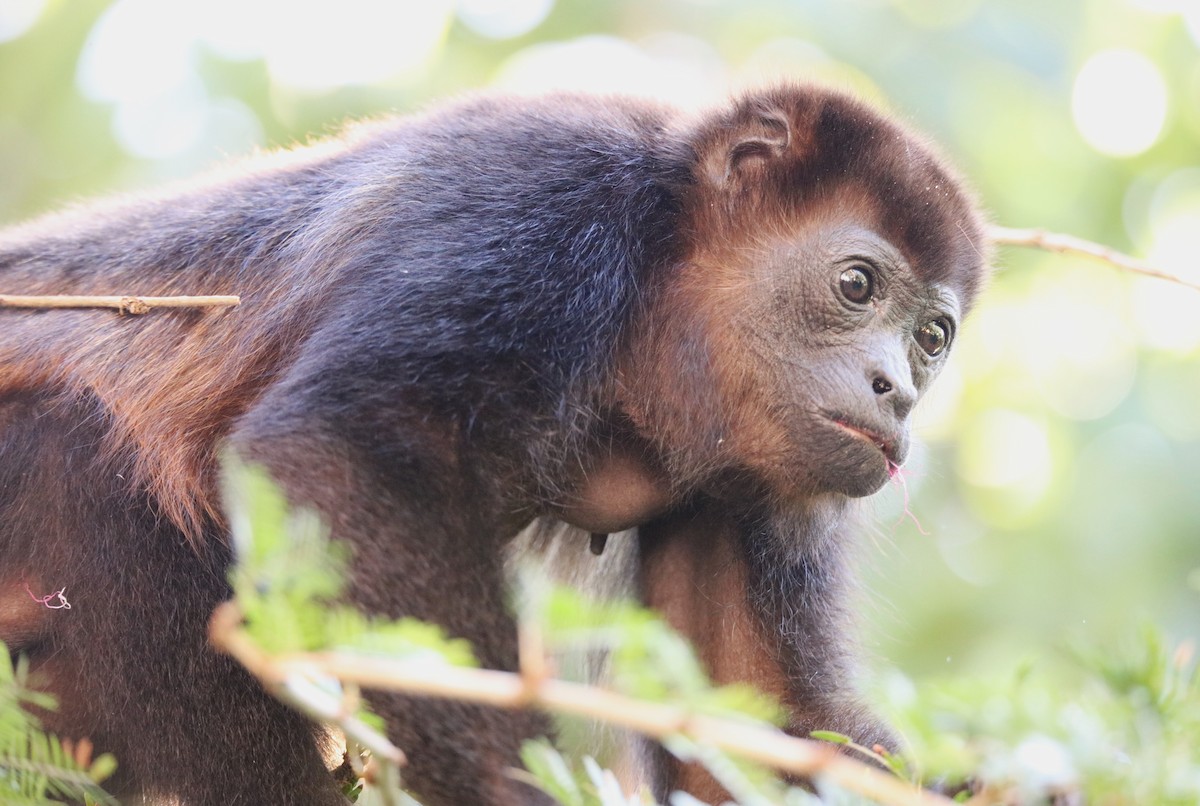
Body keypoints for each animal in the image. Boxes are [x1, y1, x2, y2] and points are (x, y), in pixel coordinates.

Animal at [0, 84, 987, 805]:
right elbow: (345, 448)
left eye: (933, 339)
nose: (897, 392)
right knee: (82, 449)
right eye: (856, 284)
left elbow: (754, 716)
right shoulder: (544, 197)